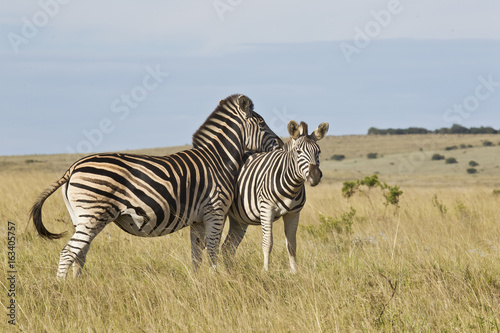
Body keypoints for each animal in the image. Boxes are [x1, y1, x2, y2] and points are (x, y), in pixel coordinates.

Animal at [30, 94, 282, 278]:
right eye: (262, 123)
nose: (280, 144)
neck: (218, 159)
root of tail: (72, 168)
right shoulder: (215, 211)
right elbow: (212, 249)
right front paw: (215, 279)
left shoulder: (198, 219)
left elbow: (196, 254)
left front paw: (198, 282)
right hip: (93, 214)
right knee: (68, 252)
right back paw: (62, 289)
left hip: (81, 217)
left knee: (79, 254)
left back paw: (77, 286)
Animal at [222, 119, 328, 272]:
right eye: (298, 151)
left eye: (318, 152)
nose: (315, 176)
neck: (292, 186)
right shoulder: (267, 209)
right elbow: (268, 243)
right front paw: (266, 271)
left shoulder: (293, 213)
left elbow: (292, 245)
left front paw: (295, 272)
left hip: (239, 218)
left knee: (227, 247)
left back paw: (229, 273)